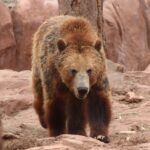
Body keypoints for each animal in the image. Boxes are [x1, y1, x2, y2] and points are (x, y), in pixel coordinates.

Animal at [31, 15, 111, 143]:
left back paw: (77, 131)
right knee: (38, 92)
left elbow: (98, 103)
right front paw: (57, 132)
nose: (82, 89)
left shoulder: (99, 76)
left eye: (89, 70)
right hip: (38, 62)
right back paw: (44, 121)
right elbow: (55, 103)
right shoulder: (54, 73)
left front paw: (100, 135)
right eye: (73, 70)